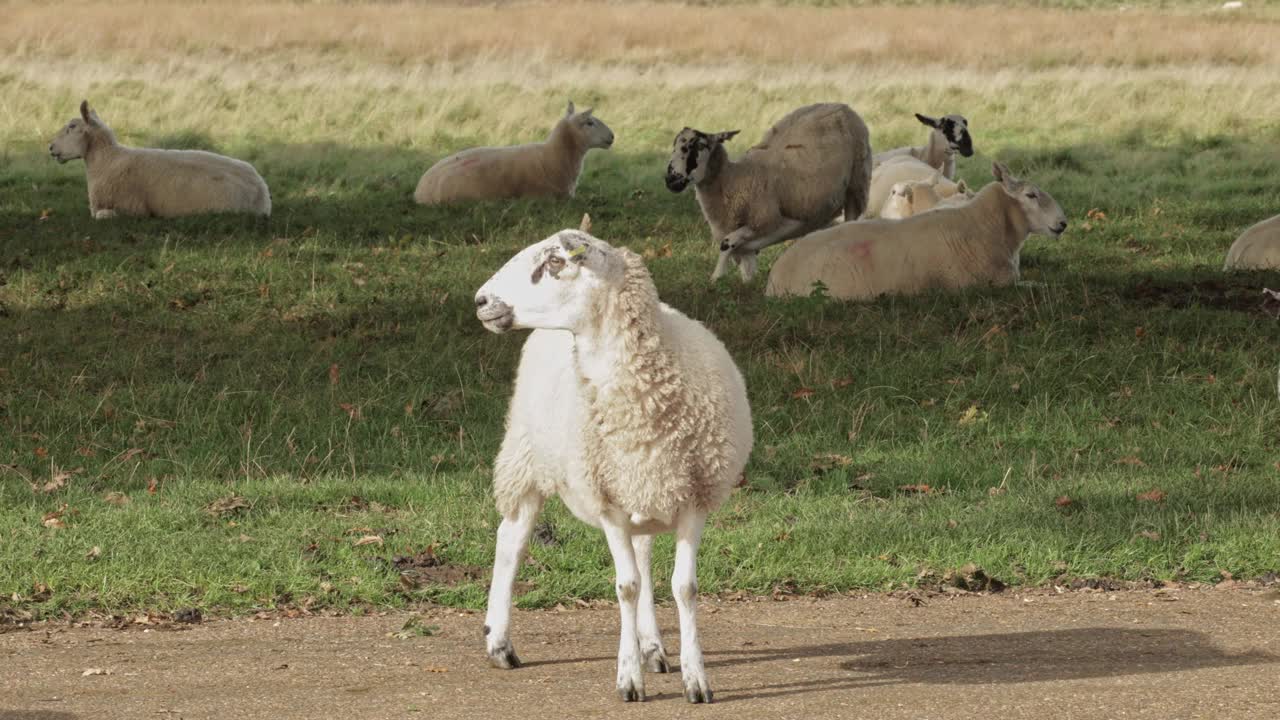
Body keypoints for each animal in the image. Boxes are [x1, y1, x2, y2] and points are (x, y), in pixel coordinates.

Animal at [48, 99, 270, 219]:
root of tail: (263, 193)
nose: (50, 147)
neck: (107, 161)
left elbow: (101, 215)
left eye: (72, 127)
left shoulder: (133, 209)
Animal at [476, 225, 752, 702]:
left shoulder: (693, 497)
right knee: (511, 540)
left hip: (645, 487)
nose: (480, 300)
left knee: (643, 555)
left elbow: (684, 587)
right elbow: (626, 587)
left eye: (554, 262)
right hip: (526, 457)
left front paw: (695, 678)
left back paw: (653, 646)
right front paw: (628, 679)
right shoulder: (607, 503)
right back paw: (500, 644)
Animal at [665, 103, 875, 283]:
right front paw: (745, 283)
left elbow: (726, 243)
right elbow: (744, 262)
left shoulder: (767, 220)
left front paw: (715, 278)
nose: (670, 179)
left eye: (700, 146)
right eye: (674, 146)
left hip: (857, 184)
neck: (733, 180)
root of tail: (841, 106)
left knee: (852, 219)